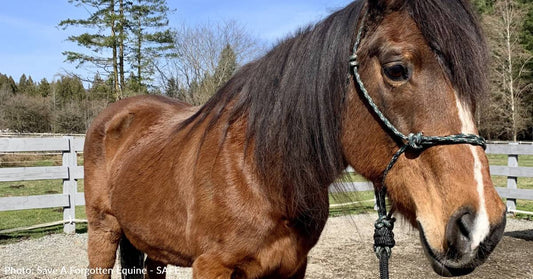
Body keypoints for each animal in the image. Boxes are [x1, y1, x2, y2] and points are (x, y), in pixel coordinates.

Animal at [83, 0, 502, 279]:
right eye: (396, 69)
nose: (483, 227)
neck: (260, 174)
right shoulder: (211, 267)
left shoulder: (292, 266)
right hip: (102, 233)